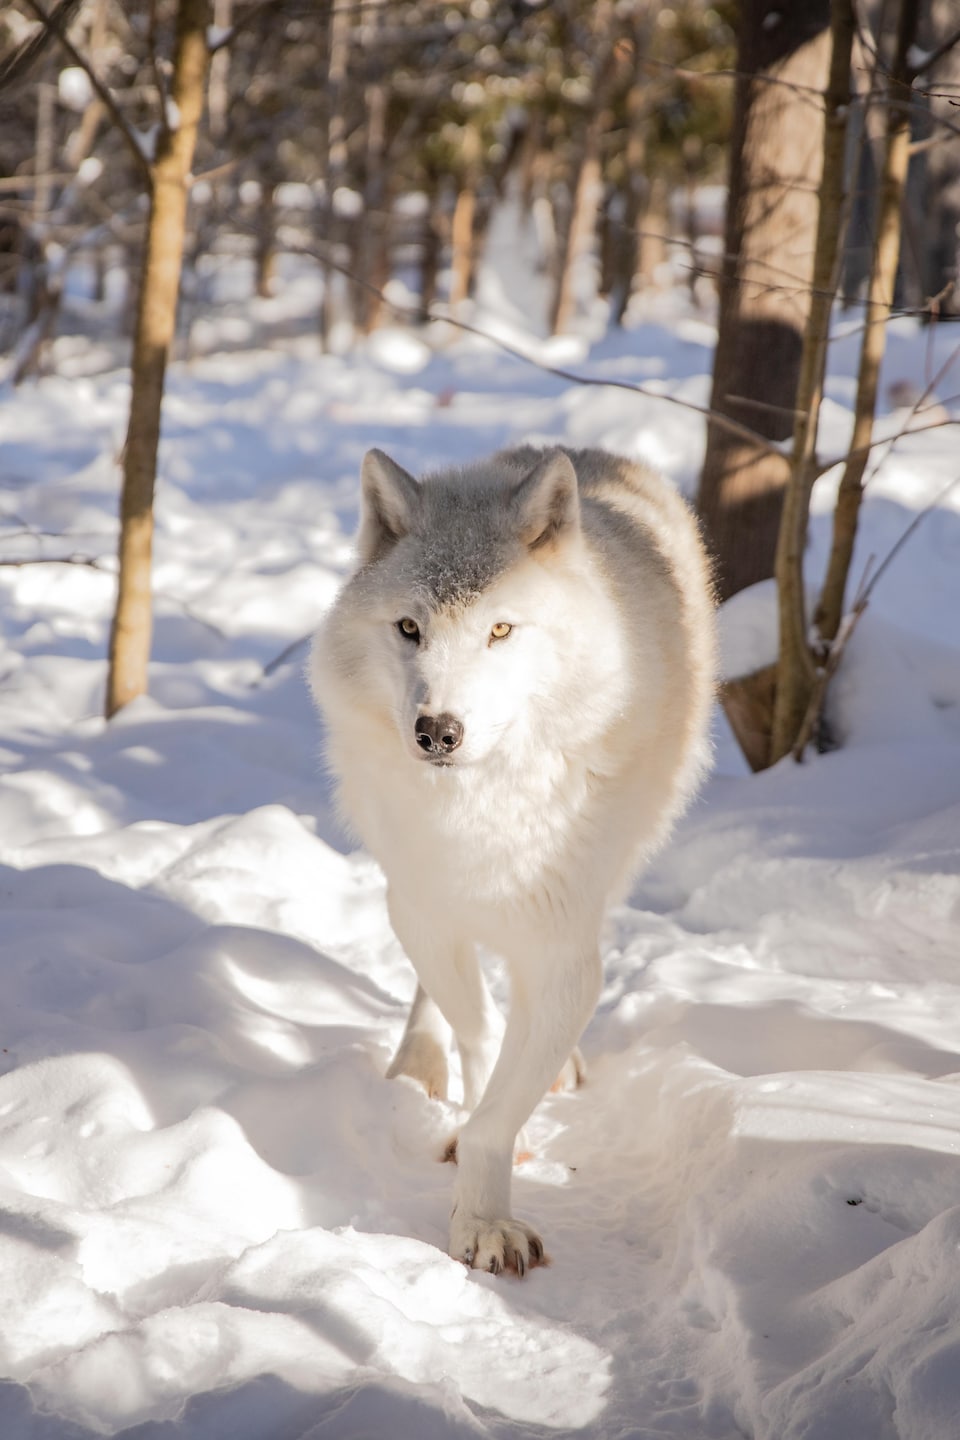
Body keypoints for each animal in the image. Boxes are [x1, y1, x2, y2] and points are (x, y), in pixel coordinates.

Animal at [310, 444, 716, 1276]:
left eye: (500, 629)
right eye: (409, 627)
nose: (438, 730)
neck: (480, 808)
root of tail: (585, 455)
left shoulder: (564, 953)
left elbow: (502, 1102)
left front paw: (485, 1216)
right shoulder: (422, 904)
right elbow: (482, 1036)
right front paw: (476, 1158)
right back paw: (417, 1063)